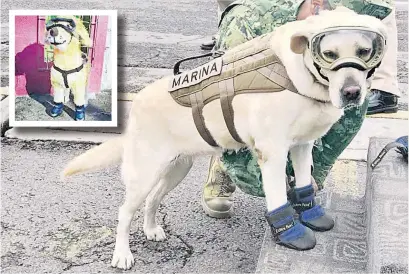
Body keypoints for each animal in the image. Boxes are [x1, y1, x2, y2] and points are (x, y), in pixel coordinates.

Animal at [62, 8, 388, 270]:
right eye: (329, 54)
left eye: (364, 51)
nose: (352, 93)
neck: (300, 75)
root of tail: (138, 105)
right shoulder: (272, 154)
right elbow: (279, 198)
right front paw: (290, 233)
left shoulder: (302, 147)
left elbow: (304, 185)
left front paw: (312, 214)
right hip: (144, 173)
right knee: (124, 212)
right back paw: (122, 255)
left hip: (177, 168)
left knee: (153, 199)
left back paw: (152, 229)